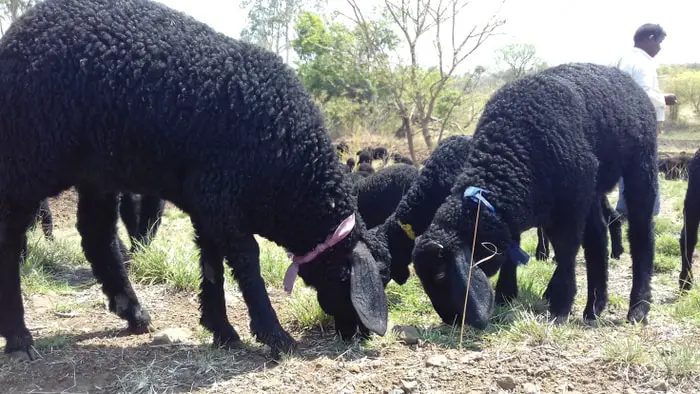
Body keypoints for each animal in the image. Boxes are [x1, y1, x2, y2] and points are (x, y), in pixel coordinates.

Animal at [0, 0, 388, 360]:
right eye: (371, 277)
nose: (359, 335)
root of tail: (16, 32)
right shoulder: (221, 197)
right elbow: (247, 260)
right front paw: (275, 335)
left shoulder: (208, 202)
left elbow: (211, 263)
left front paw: (222, 330)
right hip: (27, 157)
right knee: (11, 238)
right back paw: (18, 337)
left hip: (96, 172)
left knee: (97, 234)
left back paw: (133, 312)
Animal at [412, 63, 660, 330]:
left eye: (440, 274)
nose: (451, 320)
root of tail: (624, 77)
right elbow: (515, 247)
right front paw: (506, 293)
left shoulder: (569, 204)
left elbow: (566, 250)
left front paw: (560, 305)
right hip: (592, 188)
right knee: (597, 237)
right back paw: (594, 306)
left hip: (640, 165)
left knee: (641, 234)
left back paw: (638, 307)